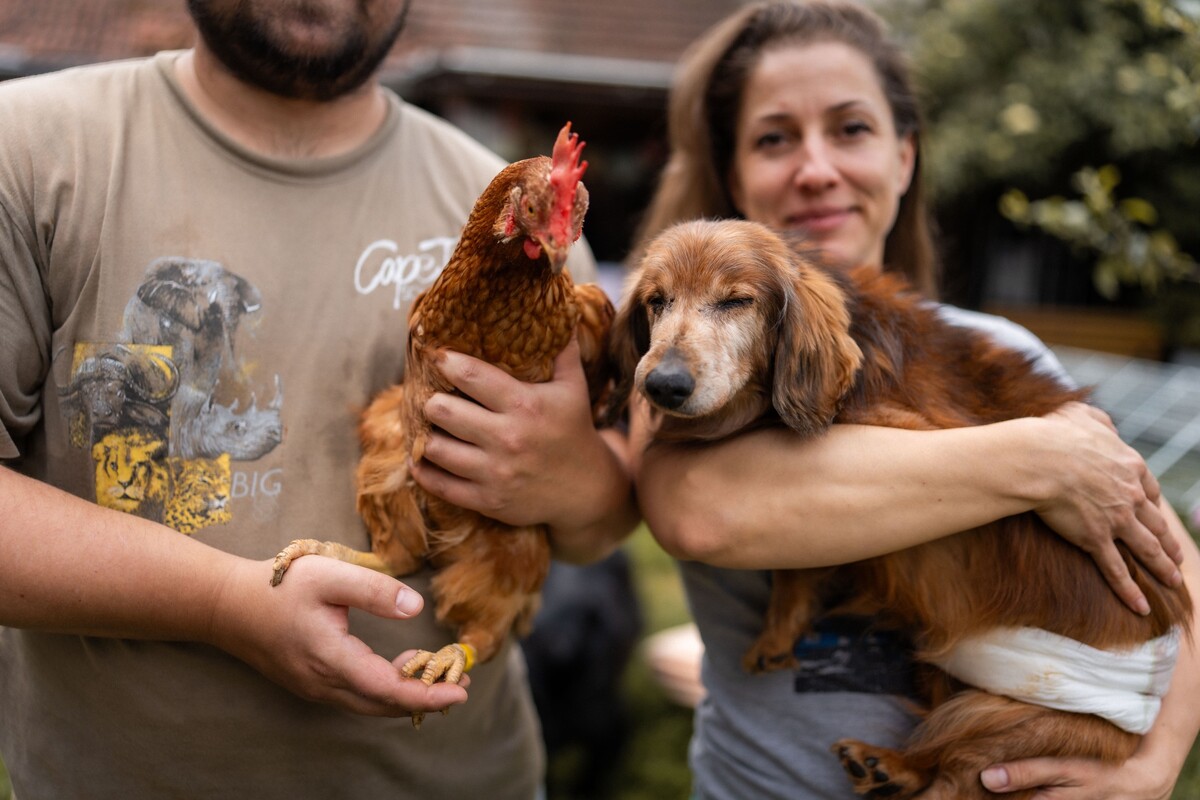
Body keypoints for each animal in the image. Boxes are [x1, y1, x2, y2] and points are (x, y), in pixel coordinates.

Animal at [609, 219, 1190, 800]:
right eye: (657, 300)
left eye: (736, 301)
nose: (662, 385)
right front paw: (778, 634)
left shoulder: (912, 434)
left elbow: (799, 565)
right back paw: (887, 766)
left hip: (1006, 720)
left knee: (955, 773)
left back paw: (888, 763)